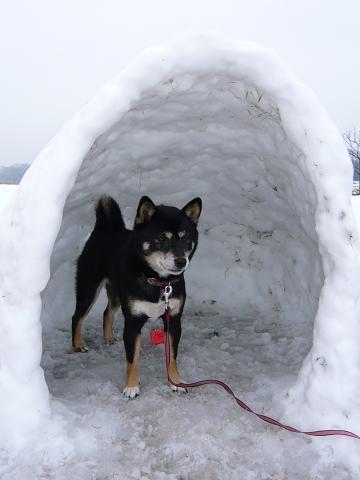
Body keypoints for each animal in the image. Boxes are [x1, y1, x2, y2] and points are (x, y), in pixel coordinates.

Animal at [71, 194, 201, 398]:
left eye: (185, 238)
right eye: (161, 238)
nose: (181, 261)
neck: (157, 281)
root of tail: (105, 228)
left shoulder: (173, 320)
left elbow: (172, 356)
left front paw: (176, 382)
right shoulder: (132, 322)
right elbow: (133, 359)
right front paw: (131, 386)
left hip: (116, 293)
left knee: (107, 312)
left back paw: (108, 337)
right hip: (88, 290)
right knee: (77, 317)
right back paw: (77, 344)